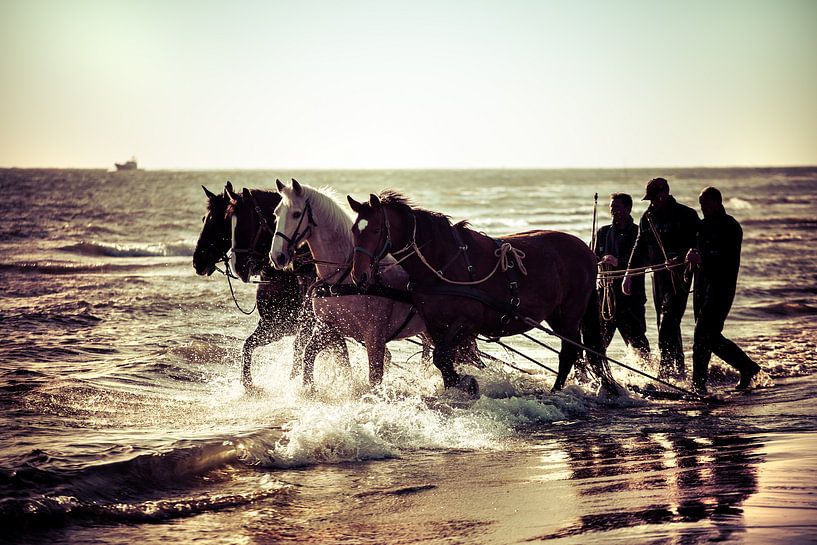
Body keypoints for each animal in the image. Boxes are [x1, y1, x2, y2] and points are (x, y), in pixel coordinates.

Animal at [193, 181, 347, 388]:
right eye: (205, 219)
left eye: (218, 223)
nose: (197, 262)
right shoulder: (274, 326)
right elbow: (248, 346)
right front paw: (248, 384)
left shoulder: (310, 327)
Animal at [263, 179, 430, 389]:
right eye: (276, 213)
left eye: (296, 213)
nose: (277, 256)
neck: (342, 279)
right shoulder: (328, 328)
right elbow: (309, 356)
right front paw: (309, 390)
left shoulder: (374, 336)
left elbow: (374, 376)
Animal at [347, 191, 616, 395]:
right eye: (354, 230)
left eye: (376, 230)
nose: (359, 275)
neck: (441, 261)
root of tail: (586, 250)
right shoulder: (435, 324)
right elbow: (444, 358)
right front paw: (454, 384)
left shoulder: (467, 321)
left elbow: (442, 356)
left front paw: (464, 383)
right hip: (556, 315)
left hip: (570, 313)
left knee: (569, 351)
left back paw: (557, 391)